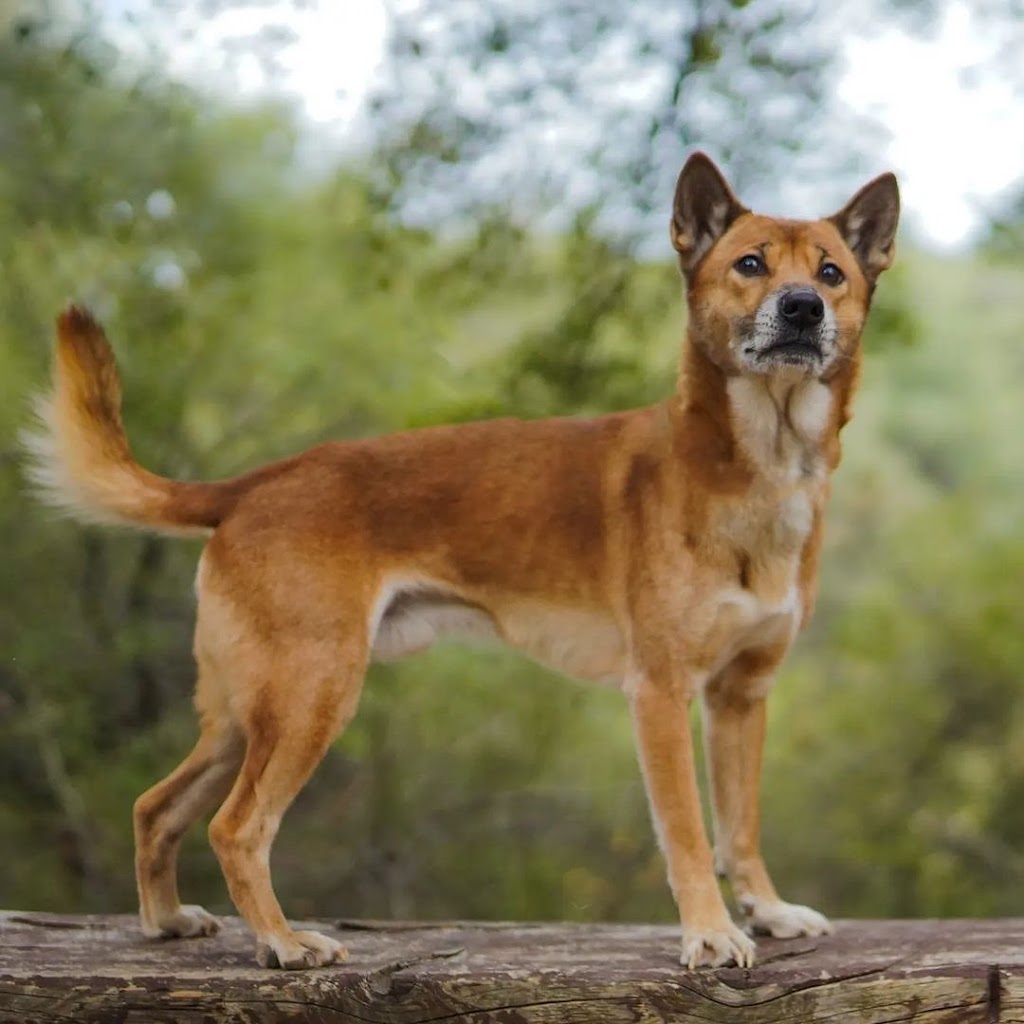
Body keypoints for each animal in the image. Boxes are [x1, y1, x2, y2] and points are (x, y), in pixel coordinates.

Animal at [25, 155, 897, 970]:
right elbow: (687, 833)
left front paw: (767, 910)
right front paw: (711, 934)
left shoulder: (740, 696)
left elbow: (740, 826)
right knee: (236, 827)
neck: (757, 465)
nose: (802, 308)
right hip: (311, 693)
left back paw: (166, 919)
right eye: (750, 264)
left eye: (830, 273)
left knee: (155, 805)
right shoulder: (660, 694)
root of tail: (255, 482)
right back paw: (283, 941)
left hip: (248, 709)